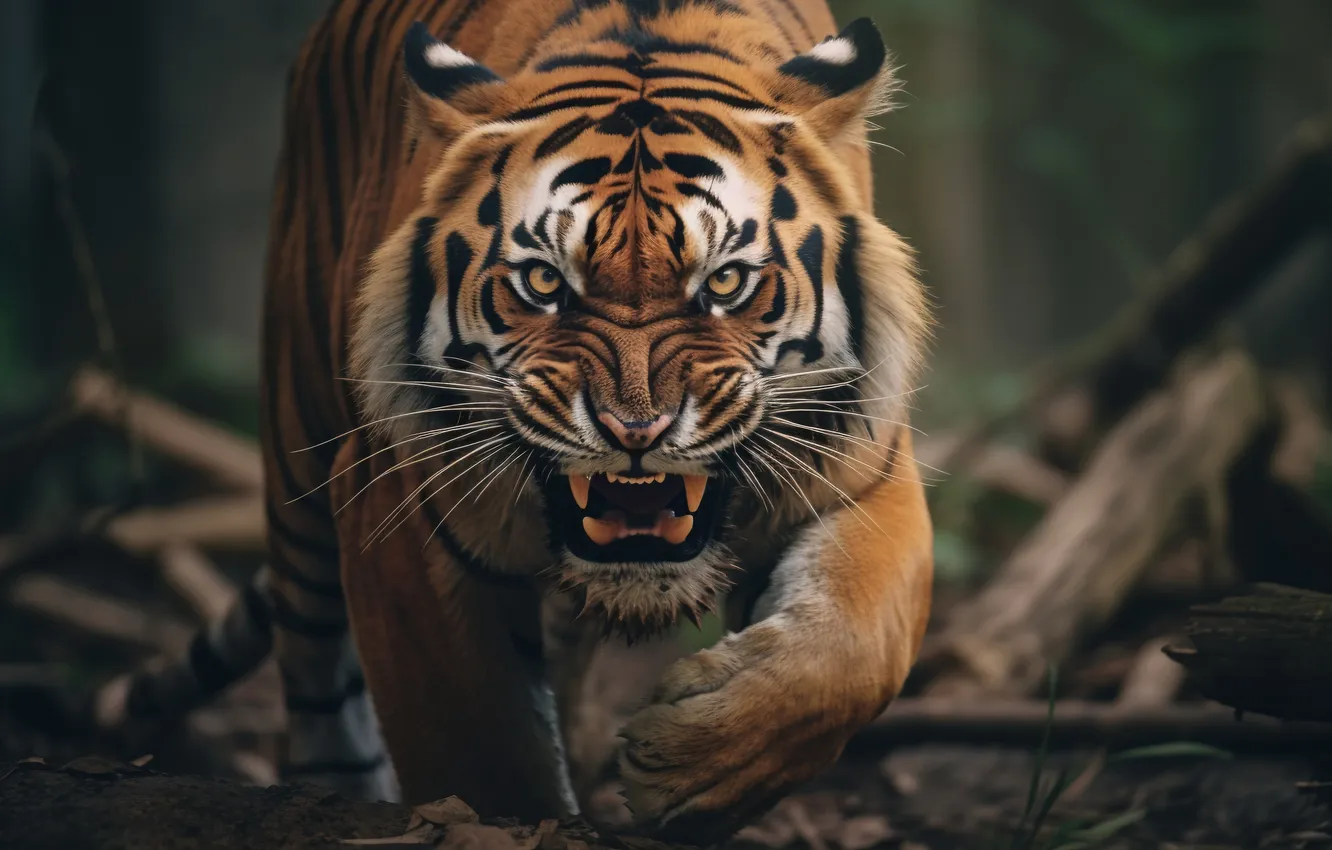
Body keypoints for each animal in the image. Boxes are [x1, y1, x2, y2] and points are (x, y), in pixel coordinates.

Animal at [98, 0, 934, 841]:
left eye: (725, 282)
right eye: (543, 282)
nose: (636, 432)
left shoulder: (866, 465)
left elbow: (855, 648)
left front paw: (692, 767)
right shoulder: (401, 509)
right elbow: (482, 747)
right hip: (298, 443)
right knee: (315, 680)